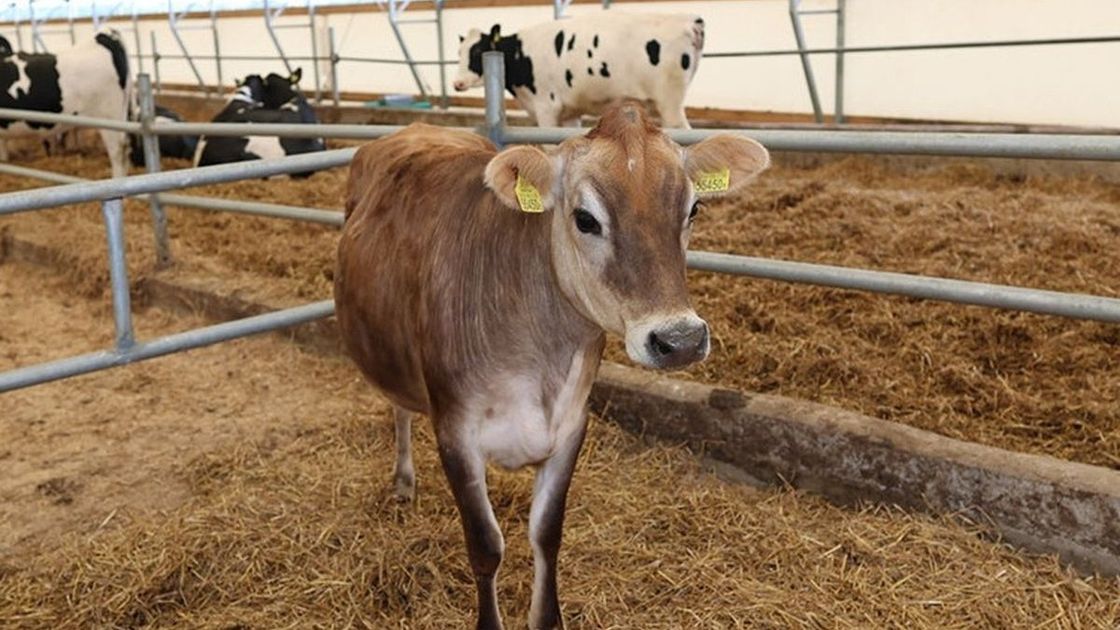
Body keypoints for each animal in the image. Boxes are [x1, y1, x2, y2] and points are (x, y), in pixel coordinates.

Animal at [334, 102, 769, 629]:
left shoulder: (570, 425)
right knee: (398, 406)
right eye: (585, 218)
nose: (680, 340)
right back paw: (402, 481)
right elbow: (485, 546)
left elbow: (546, 535)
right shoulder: (455, 432)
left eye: (693, 209)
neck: (539, 361)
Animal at [454, 13, 704, 128]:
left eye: (478, 51)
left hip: (670, 104)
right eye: (459, 52)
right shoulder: (569, 113)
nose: (457, 83)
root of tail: (689, 20)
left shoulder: (546, 107)